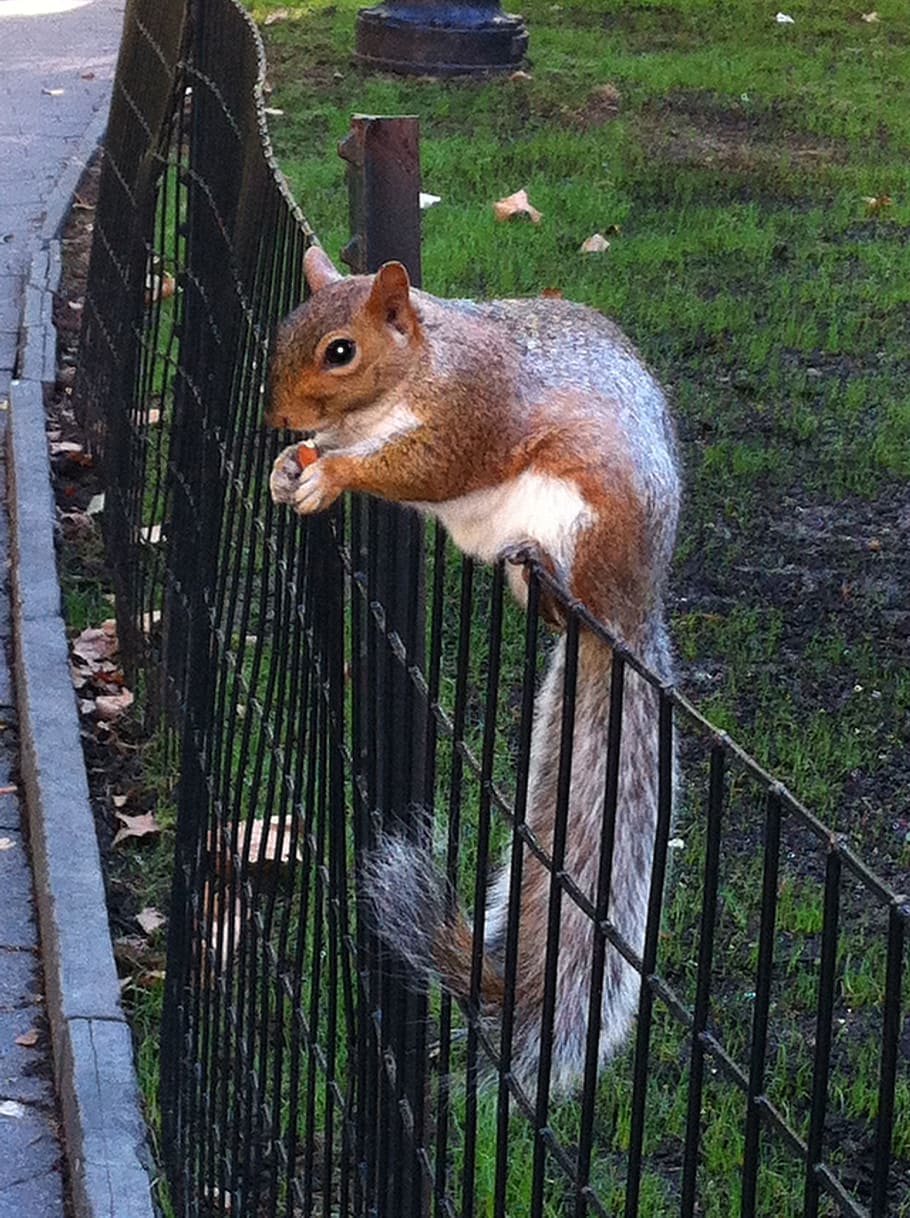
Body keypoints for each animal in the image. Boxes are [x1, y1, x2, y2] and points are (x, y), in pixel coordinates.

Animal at [266, 245, 680, 1097]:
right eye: (288, 328)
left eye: (340, 352)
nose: (280, 419)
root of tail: (631, 610)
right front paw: (290, 468)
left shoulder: (474, 412)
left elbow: (430, 468)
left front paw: (334, 475)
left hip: (588, 523)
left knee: (567, 594)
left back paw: (551, 576)